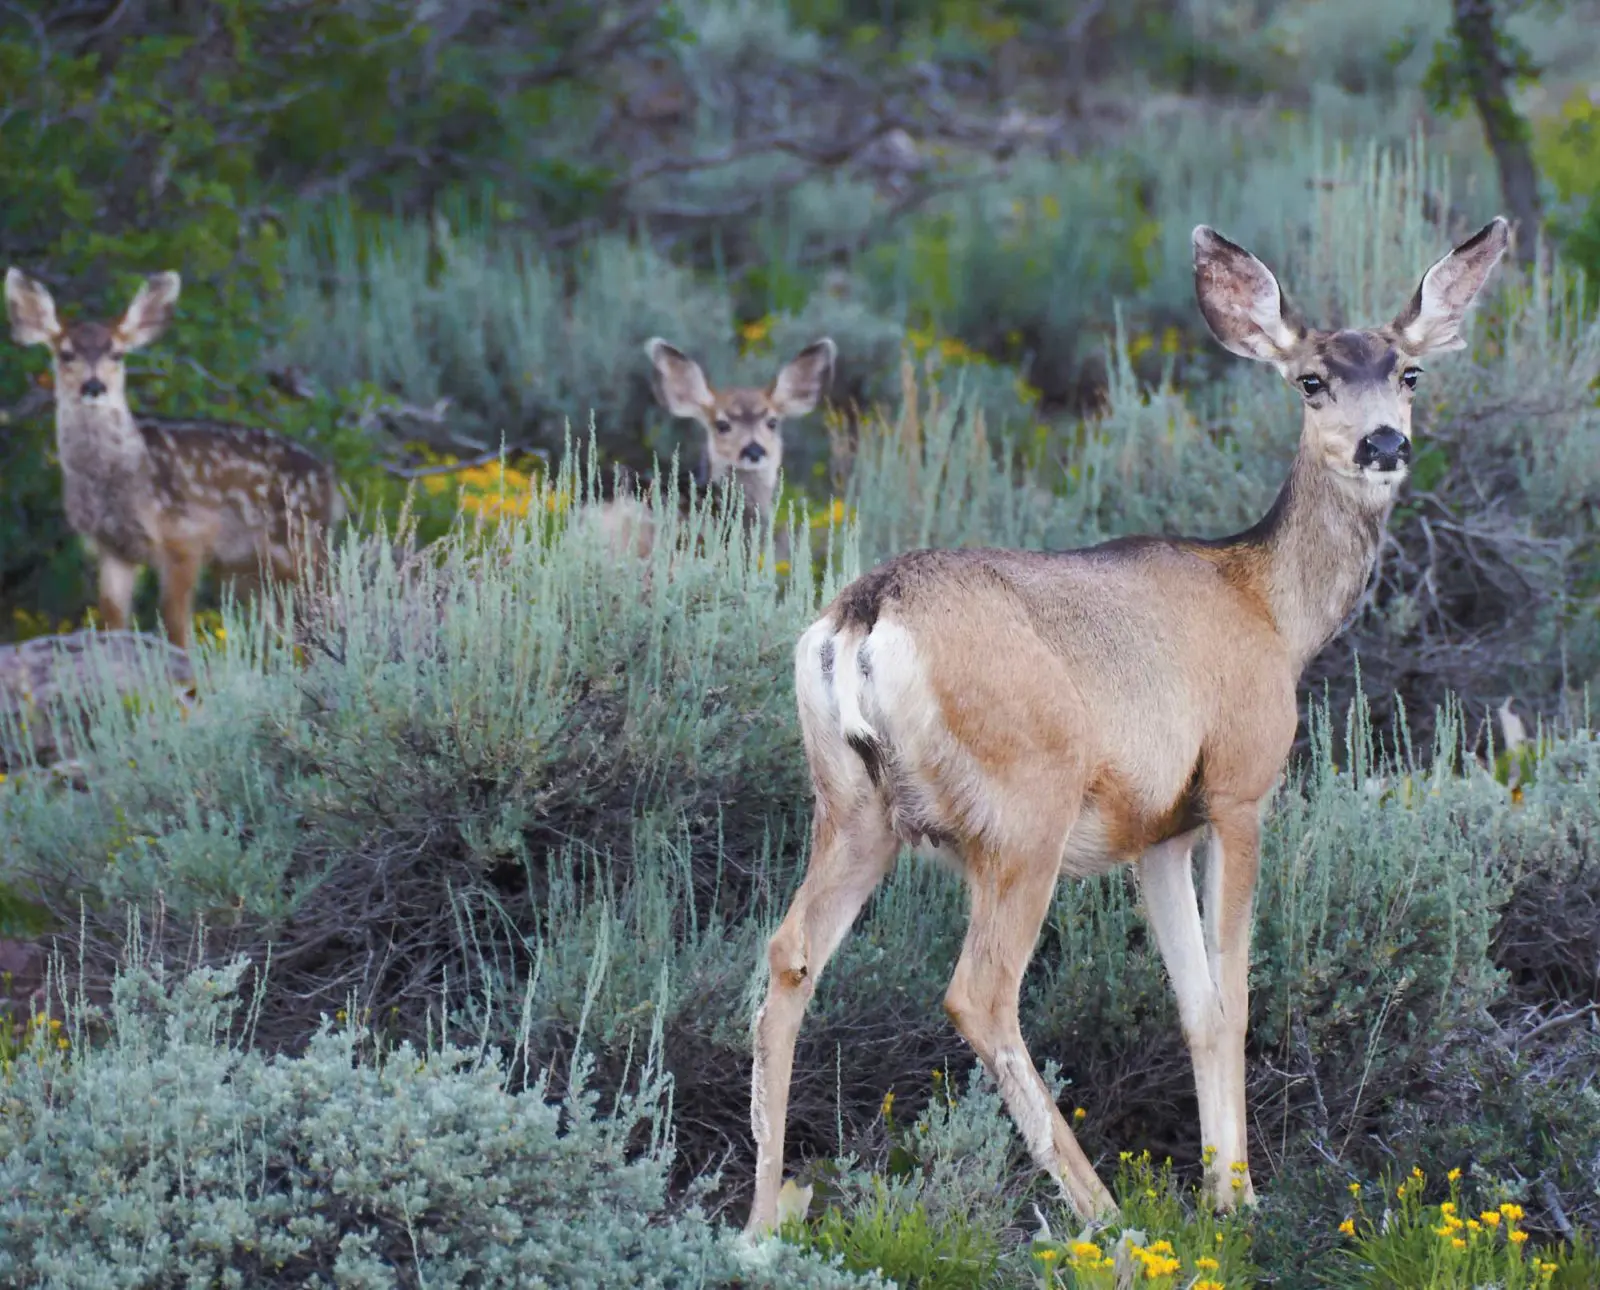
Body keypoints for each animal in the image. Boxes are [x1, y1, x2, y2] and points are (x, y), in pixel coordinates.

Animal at [6, 273, 345, 656]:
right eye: (66, 353)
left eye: (117, 353)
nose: (93, 386)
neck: (121, 479)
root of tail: (329, 481)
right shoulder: (111, 548)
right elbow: (113, 620)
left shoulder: (185, 535)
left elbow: (176, 625)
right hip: (247, 569)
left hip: (301, 543)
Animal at [742, 214, 1504, 1235]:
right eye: (1311, 379)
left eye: (1410, 372)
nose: (1383, 442)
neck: (1272, 608)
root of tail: (865, 614)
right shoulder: (1239, 786)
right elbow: (1235, 996)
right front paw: (1241, 1196)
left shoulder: (1159, 832)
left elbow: (1194, 1003)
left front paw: (1222, 1187)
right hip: (1024, 808)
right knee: (980, 992)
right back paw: (1105, 1217)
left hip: (854, 806)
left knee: (789, 958)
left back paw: (758, 1226)